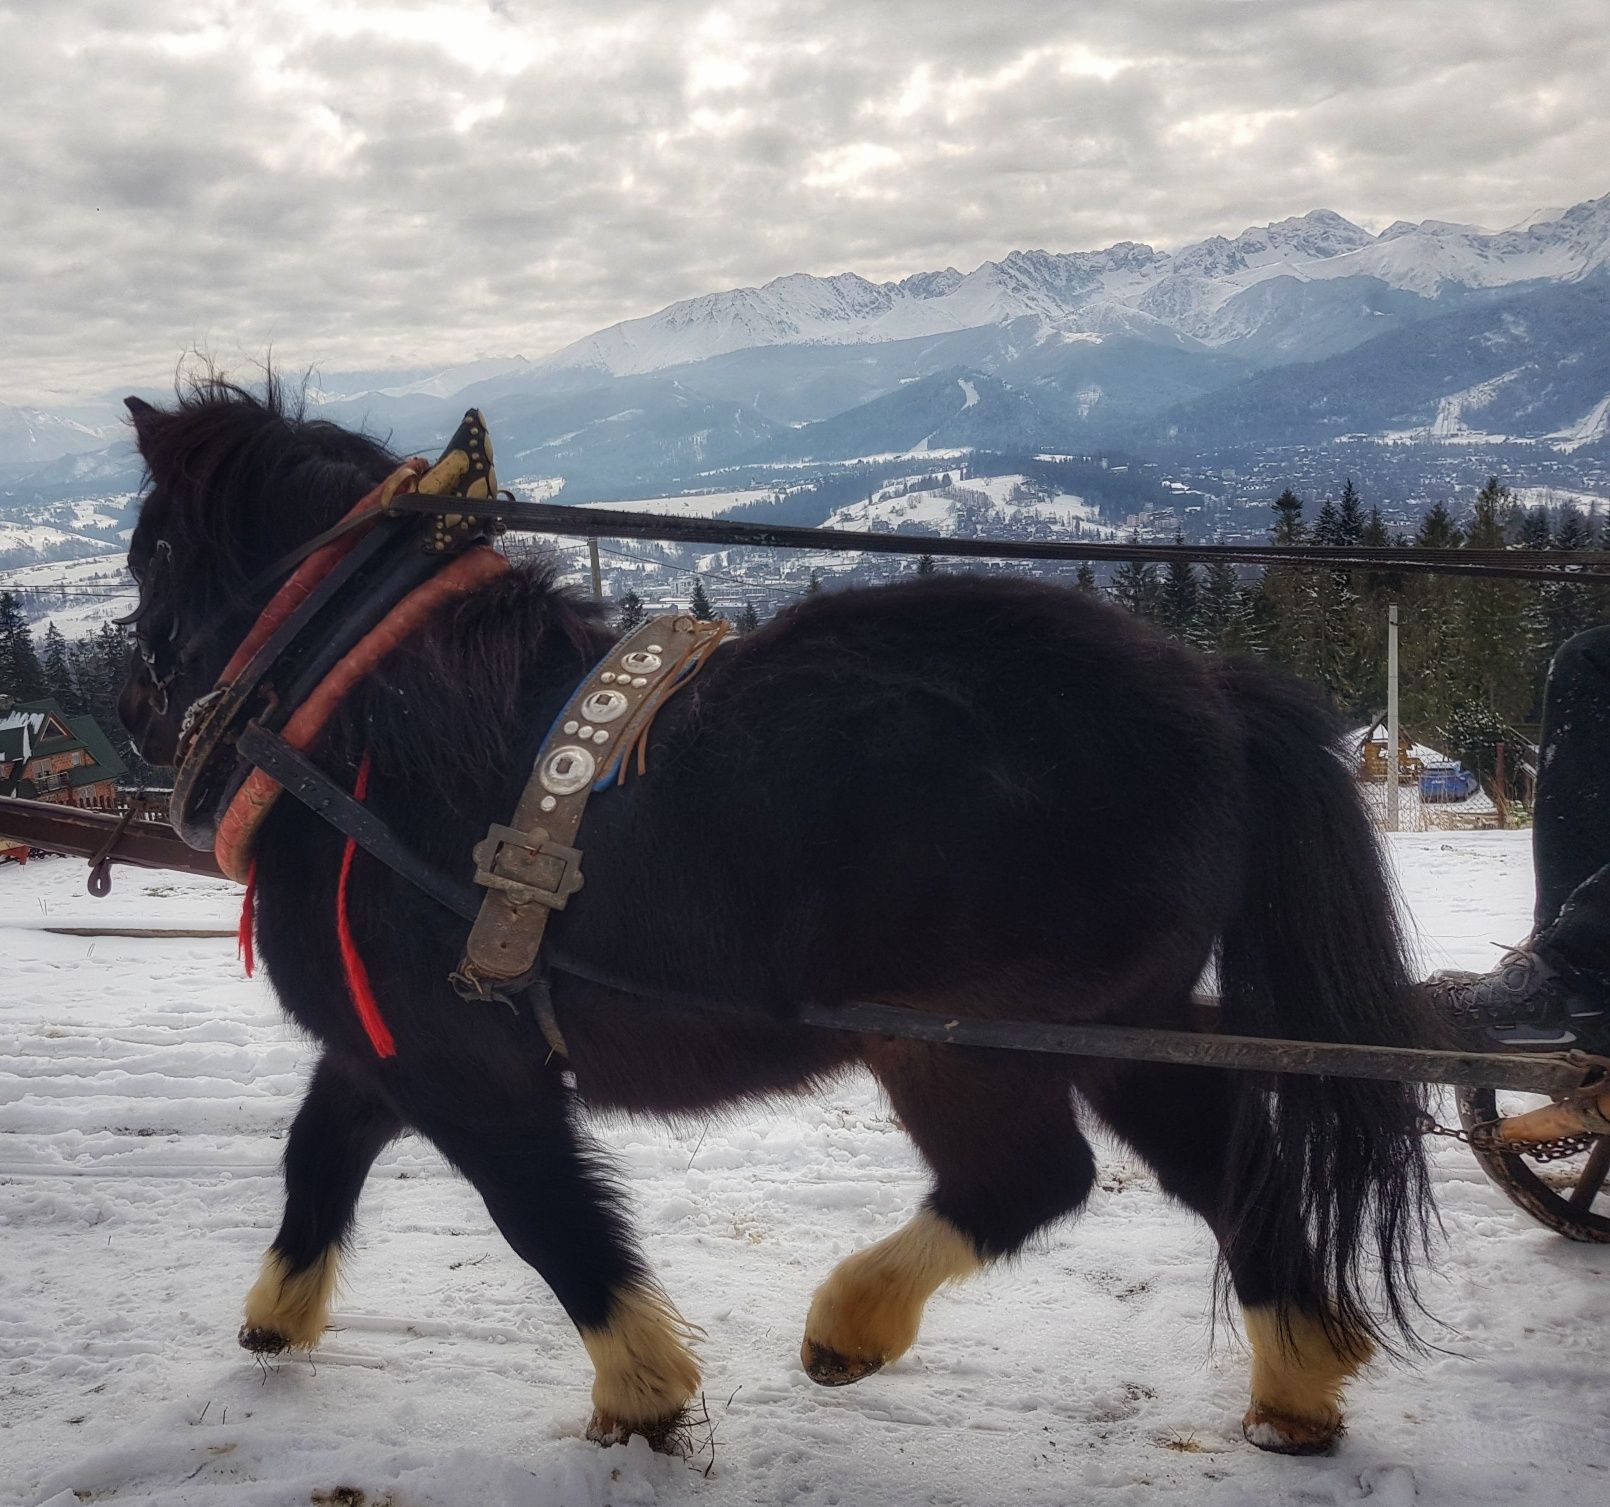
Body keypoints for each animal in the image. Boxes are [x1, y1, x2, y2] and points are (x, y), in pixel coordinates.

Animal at [122, 384, 1436, 1461]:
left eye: (154, 547)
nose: (141, 708)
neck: (362, 723)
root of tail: (1214, 689)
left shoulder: (464, 1069)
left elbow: (546, 1220)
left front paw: (642, 1391)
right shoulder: (384, 1049)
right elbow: (317, 1155)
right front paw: (274, 1318)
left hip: (954, 1036)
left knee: (1029, 1175)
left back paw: (851, 1321)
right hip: (1123, 1016)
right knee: (1223, 1164)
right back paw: (1296, 1383)